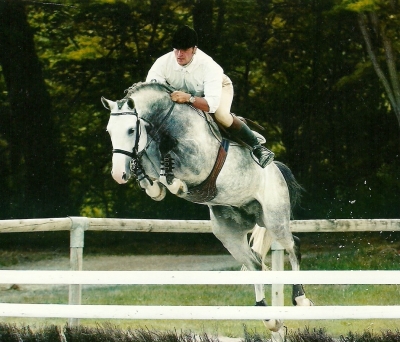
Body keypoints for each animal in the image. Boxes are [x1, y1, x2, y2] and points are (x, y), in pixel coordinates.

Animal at [102, 81, 312, 332]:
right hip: (228, 232)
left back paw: (301, 299)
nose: (118, 175)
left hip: (274, 216)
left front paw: (177, 183)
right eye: (109, 132)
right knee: (254, 262)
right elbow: (154, 182)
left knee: (293, 245)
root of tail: (277, 170)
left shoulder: (197, 163)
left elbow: (171, 176)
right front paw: (144, 174)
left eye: (130, 131)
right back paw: (268, 316)